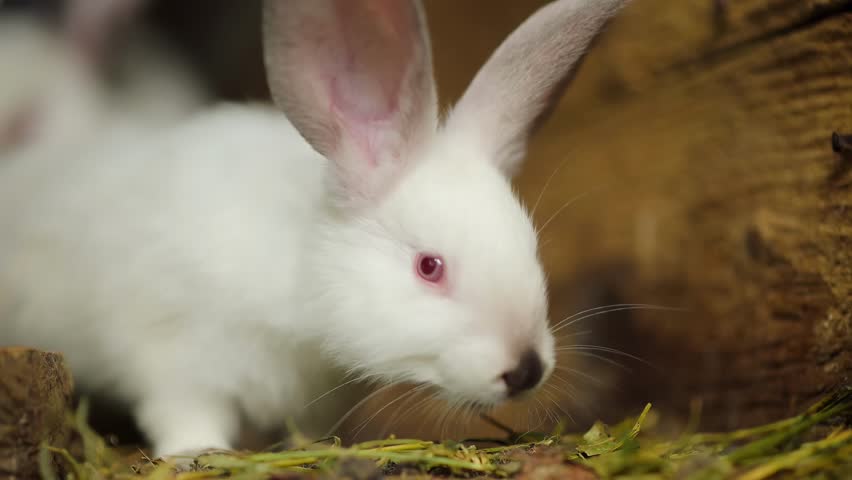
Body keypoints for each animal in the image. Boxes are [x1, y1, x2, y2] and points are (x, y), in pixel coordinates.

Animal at [0, 0, 627, 459]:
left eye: (531, 249)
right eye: (429, 267)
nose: (525, 370)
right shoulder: (173, 351)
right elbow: (183, 412)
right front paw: (198, 452)